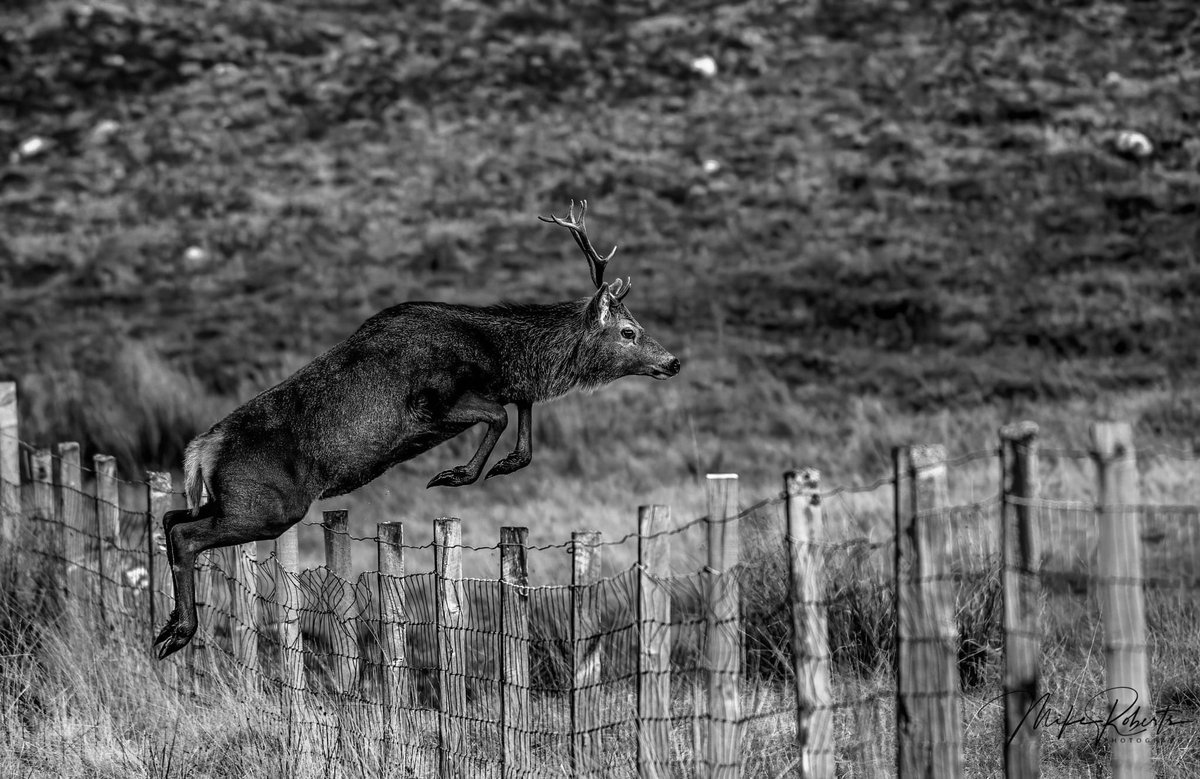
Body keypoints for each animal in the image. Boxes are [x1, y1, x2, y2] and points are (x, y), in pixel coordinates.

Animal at [153, 201, 681, 659]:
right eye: (629, 332)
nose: (674, 361)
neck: (492, 349)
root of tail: (201, 449)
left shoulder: (495, 387)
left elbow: (521, 404)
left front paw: (507, 462)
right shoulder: (429, 401)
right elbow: (501, 412)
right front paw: (458, 474)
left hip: (225, 499)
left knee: (171, 518)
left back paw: (168, 624)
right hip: (266, 505)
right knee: (187, 535)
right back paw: (179, 632)